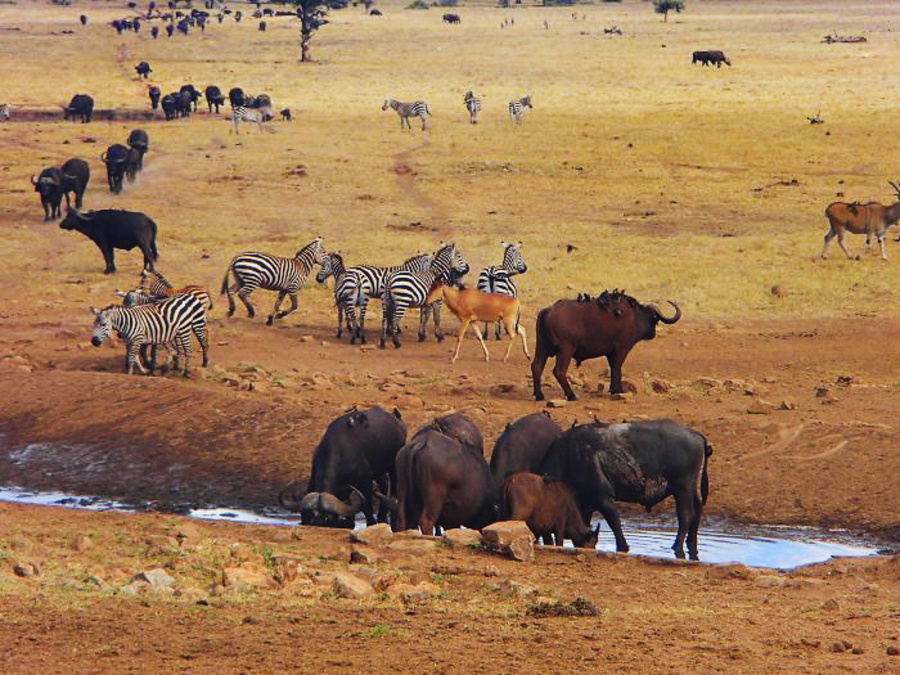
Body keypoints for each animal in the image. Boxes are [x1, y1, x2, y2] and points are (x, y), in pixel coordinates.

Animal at [532, 290, 680, 402]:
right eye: (654, 318)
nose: (653, 334)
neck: (635, 316)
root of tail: (547, 311)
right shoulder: (621, 349)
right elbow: (617, 369)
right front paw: (618, 390)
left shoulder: (610, 353)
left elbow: (613, 369)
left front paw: (614, 389)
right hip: (565, 351)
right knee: (559, 371)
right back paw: (571, 395)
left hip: (542, 347)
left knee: (536, 367)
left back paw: (539, 395)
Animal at [536, 422, 712, 560]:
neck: (569, 456)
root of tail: (695, 435)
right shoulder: (586, 505)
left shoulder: (603, 498)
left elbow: (614, 522)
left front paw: (623, 546)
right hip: (692, 490)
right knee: (698, 510)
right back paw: (691, 543)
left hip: (683, 489)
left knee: (685, 516)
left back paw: (677, 546)